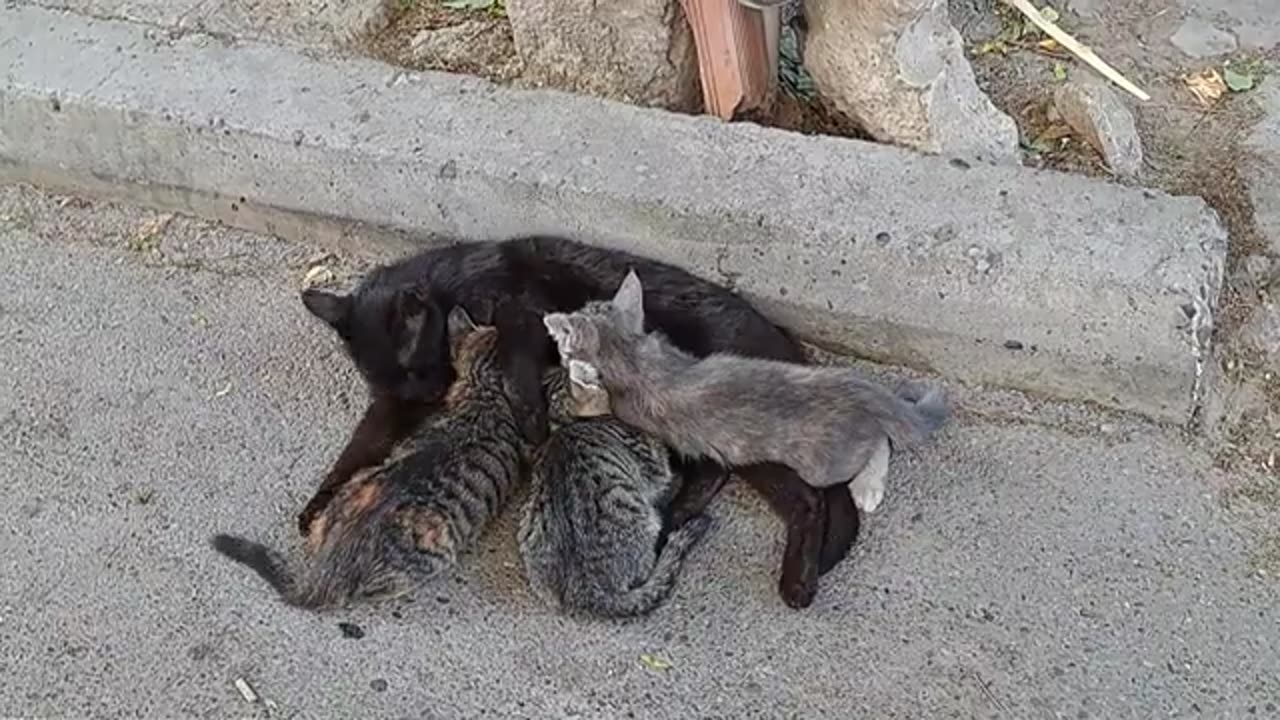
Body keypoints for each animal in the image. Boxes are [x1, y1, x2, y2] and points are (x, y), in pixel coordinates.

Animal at [540, 269, 952, 509]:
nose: (557, 344)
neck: (633, 356)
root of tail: (854, 387)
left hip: (822, 466)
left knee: (880, 441)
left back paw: (868, 487)